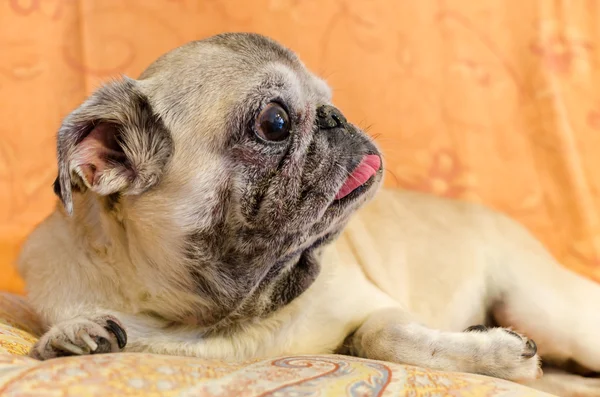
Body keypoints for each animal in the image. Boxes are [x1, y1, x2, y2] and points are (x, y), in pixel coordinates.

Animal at [17, 33, 600, 392]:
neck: (220, 319)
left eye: (327, 97)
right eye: (275, 123)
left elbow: (379, 336)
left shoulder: (379, 309)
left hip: (545, 308)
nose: (334, 116)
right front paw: (71, 338)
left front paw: (496, 354)